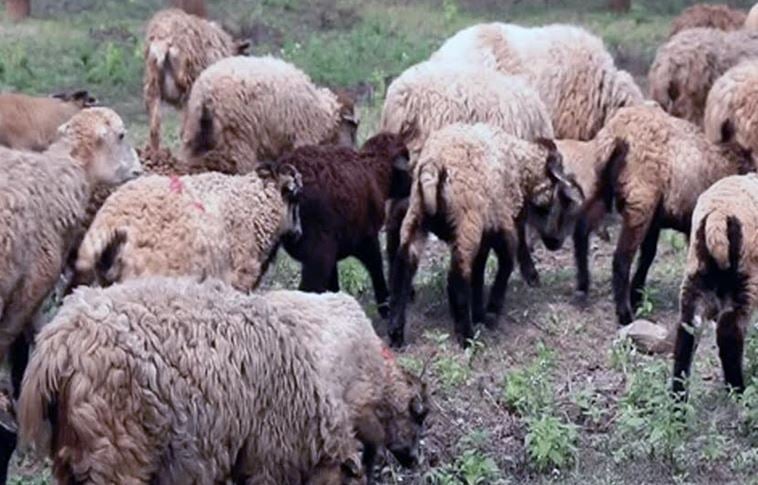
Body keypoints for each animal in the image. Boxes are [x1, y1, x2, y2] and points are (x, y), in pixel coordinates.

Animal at [180, 55, 358, 174]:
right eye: (353, 126)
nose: (353, 151)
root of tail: (206, 93)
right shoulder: (304, 137)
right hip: (239, 137)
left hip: (194, 135)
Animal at [276, 133, 411, 318]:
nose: (413, 183)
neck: (374, 171)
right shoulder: (365, 237)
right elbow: (376, 267)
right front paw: (385, 306)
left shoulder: (333, 250)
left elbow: (333, 283)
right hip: (318, 252)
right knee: (307, 290)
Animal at [388, 123, 584, 347]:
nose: (555, 243)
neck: (520, 166)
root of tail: (432, 168)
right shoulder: (503, 225)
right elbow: (506, 263)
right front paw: (491, 310)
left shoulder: (486, 235)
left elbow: (479, 272)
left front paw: (480, 312)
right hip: (466, 224)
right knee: (457, 277)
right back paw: (467, 336)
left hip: (416, 218)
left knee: (403, 269)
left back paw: (396, 333)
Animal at [594, 104, 754, 326]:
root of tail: (618, 134)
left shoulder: (660, 221)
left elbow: (649, 255)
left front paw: (638, 295)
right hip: (640, 201)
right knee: (622, 258)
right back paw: (625, 315)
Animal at [672, 174, 758, 397]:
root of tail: (718, 214)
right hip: (745, 284)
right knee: (729, 332)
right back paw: (737, 390)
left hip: (694, 282)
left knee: (687, 332)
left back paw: (678, 396)